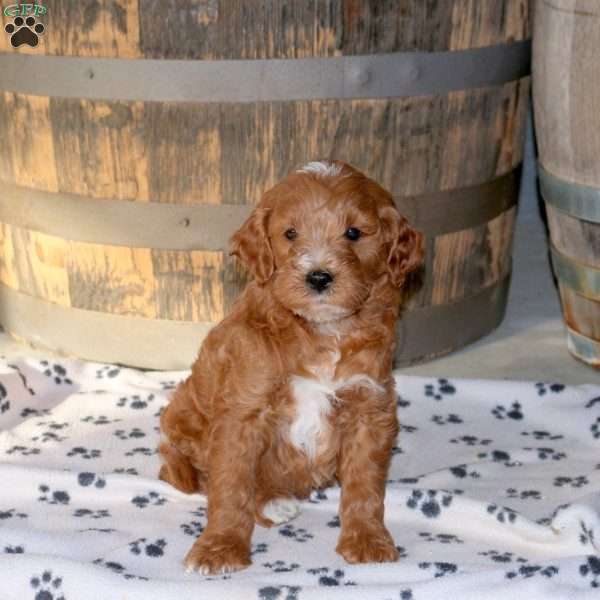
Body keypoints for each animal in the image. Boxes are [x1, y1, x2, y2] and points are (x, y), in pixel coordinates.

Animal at [157, 161, 424, 576]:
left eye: (353, 233)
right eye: (290, 234)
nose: (318, 276)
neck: (321, 331)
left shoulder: (369, 405)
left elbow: (365, 484)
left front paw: (367, 539)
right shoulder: (242, 413)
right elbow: (230, 487)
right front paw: (220, 548)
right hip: (184, 423)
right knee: (202, 477)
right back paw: (271, 502)